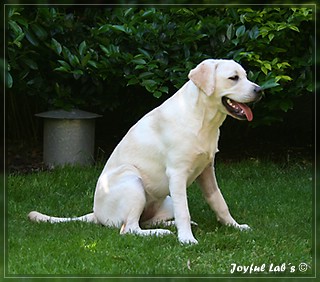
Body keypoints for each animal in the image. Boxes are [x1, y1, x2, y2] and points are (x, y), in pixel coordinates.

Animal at [28, 59, 262, 245]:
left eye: (246, 76)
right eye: (233, 78)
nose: (260, 90)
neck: (202, 118)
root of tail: (96, 214)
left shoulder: (207, 170)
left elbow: (219, 202)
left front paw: (234, 226)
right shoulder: (177, 174)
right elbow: (184, 211)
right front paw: (187, 239)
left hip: (165, 198)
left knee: (145, 221)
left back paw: (167, 225)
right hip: (133, 182)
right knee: (130, 228)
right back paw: (162, 232)